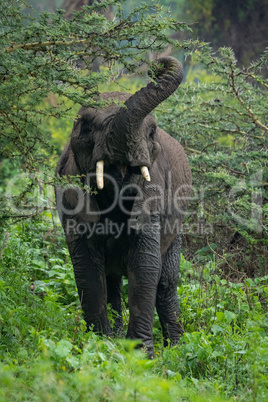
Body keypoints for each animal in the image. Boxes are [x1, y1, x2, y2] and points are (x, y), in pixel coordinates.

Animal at [55, 55, 192, 356]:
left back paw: (177, 349)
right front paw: (100, 346)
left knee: (166, 283)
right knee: (112, 280)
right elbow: (86, 269)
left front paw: (139, 355)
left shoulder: (155, 191)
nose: (157, 65)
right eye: (86, 127)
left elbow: (146, 265)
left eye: (151, 133)